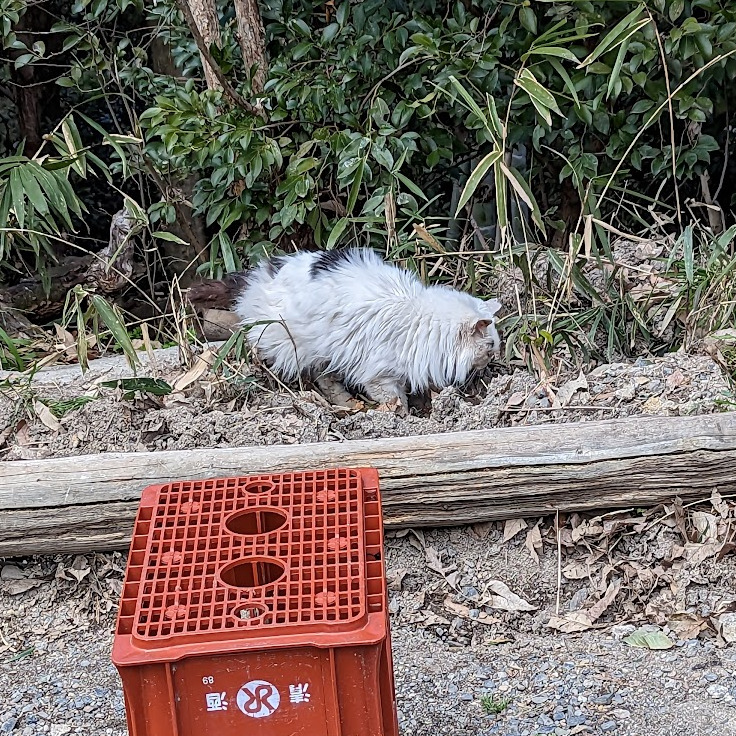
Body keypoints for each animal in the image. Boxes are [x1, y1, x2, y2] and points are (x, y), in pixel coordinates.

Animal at [187, 250, 504, 412]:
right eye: (490, 347)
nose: (494, 358)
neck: (418, 318)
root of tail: (261, 276)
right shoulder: (380, 375)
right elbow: (394, 400)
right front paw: (400, 418)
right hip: (295, 345)